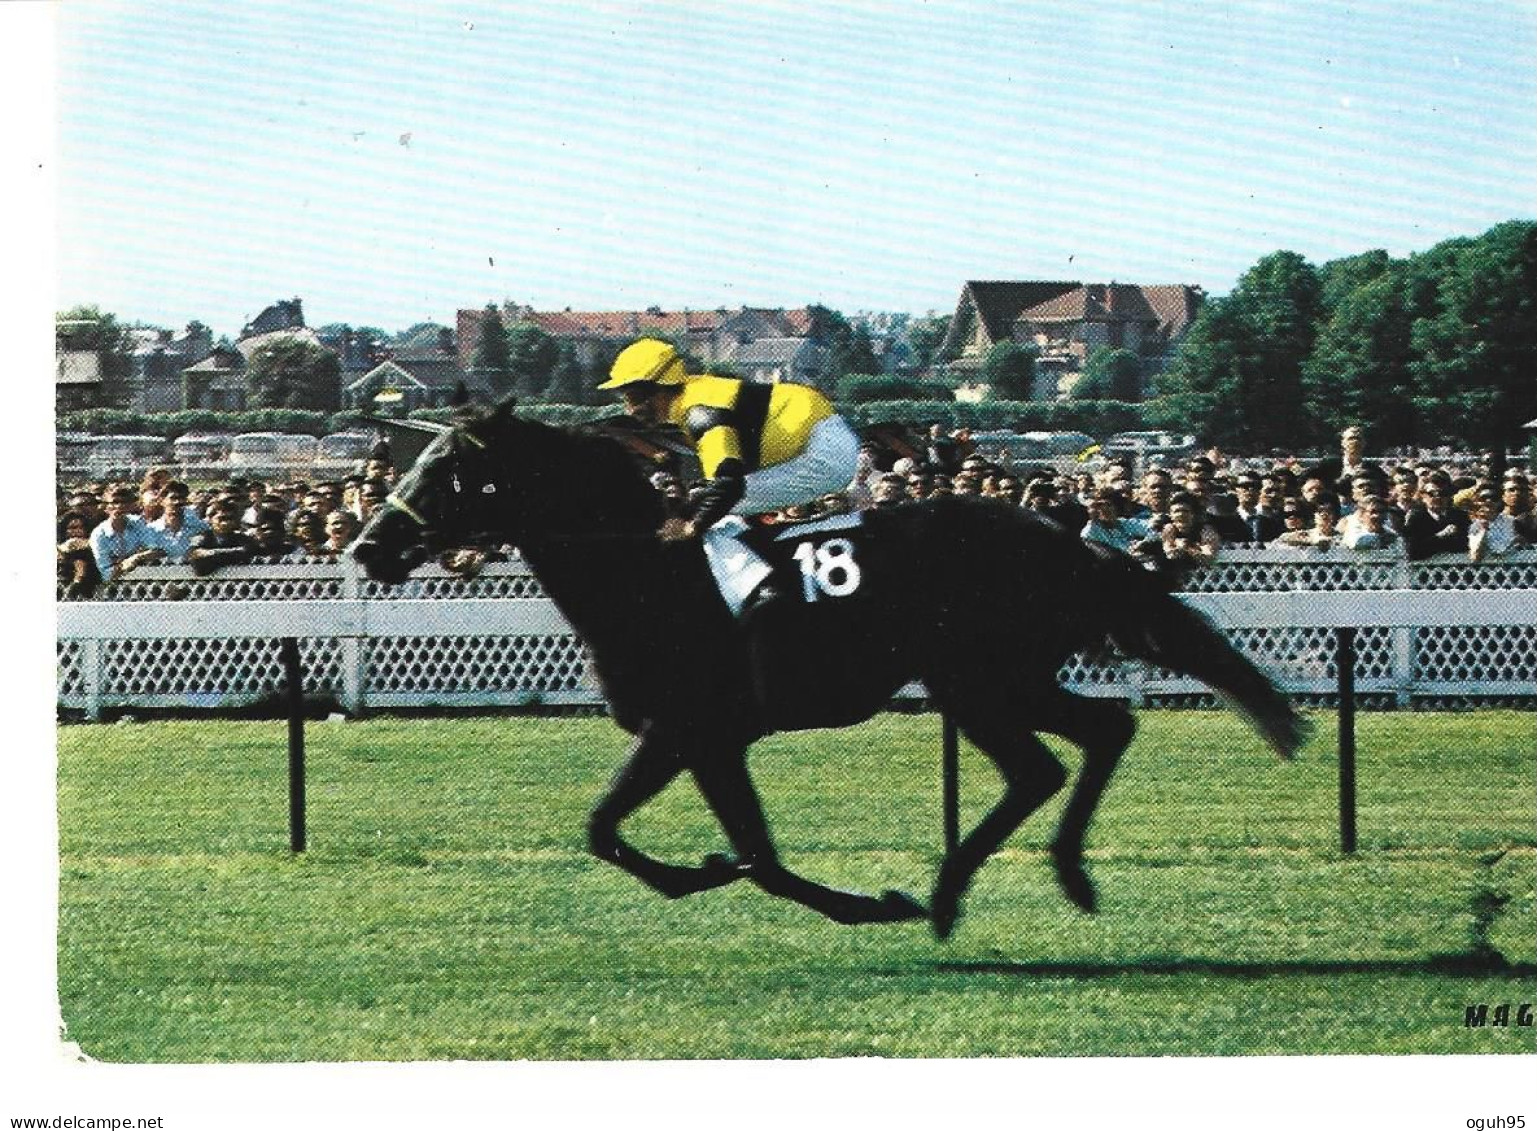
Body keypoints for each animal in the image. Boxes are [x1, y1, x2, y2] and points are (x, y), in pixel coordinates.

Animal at [353, 405, 1303, 934]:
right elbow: (631, 834)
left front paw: (859, 900)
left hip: (981, 681)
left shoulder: (688, 730)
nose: (367, 548)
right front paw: (708, 870)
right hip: (998, 680)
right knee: (1098, 732)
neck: (645, 574)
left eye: (448, 471)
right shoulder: (698, 740)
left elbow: (723, 851)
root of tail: (1057, 534)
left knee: (1051, 759)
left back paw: (953, 891)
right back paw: (1044, 876)